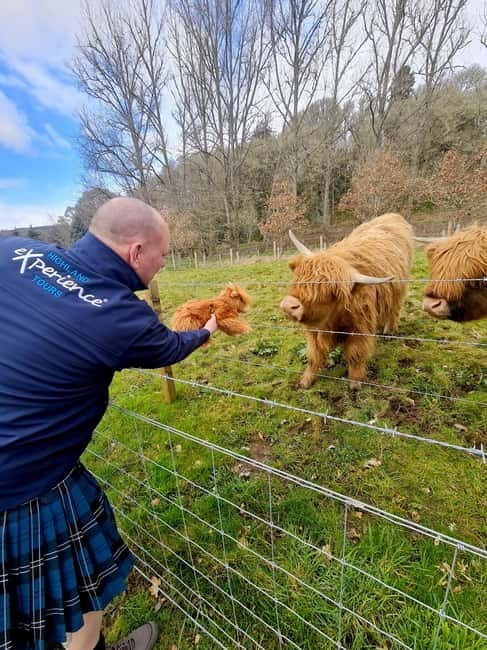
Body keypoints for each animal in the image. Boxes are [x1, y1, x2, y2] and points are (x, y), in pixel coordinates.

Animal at [280, 213, 414, 388]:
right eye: (298, 277)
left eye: (329, 291)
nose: (289, 305)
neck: (332, 321)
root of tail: (394, 215)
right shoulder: (314, 330)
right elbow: (313, 356)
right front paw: (305, 381)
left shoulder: (359, 327)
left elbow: (355, 355)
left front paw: (355, 383)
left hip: (399, 291)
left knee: (394, 310)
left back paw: (388, 332)